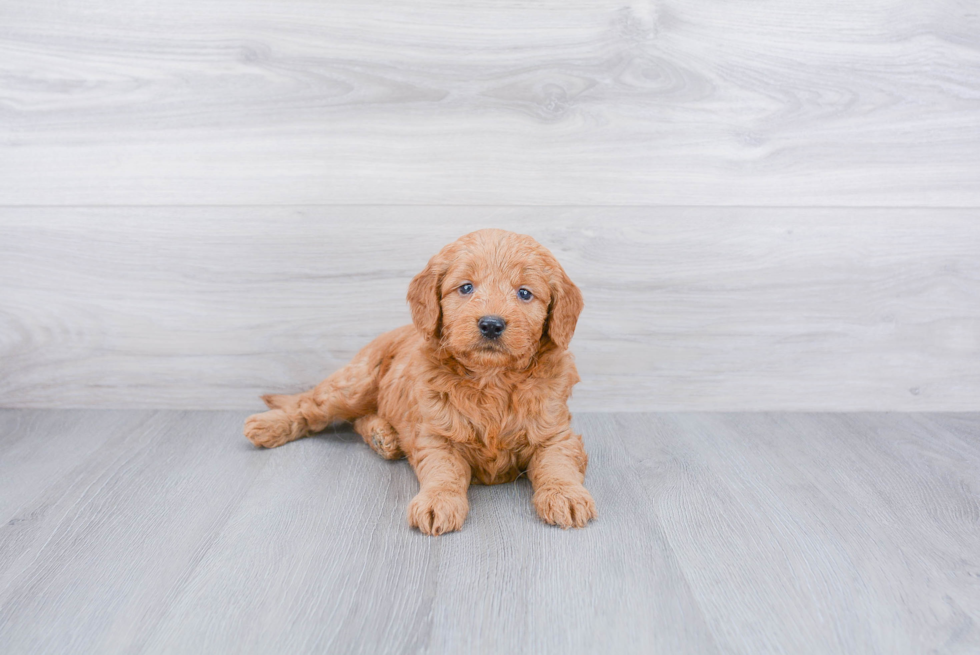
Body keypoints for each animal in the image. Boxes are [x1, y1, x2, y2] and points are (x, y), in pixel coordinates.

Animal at [245, 228, 596, 536]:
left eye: (524, 293)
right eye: (466, 288)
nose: (491, 324)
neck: (492, 379)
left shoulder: (555, 433)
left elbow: (558, 464)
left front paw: (566, 495)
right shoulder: (437, 434)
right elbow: (444, 471)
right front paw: (437, 502)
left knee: (358, 419)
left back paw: (382, 436)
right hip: (355, 383)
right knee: (311, 406)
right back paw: (269, 425)